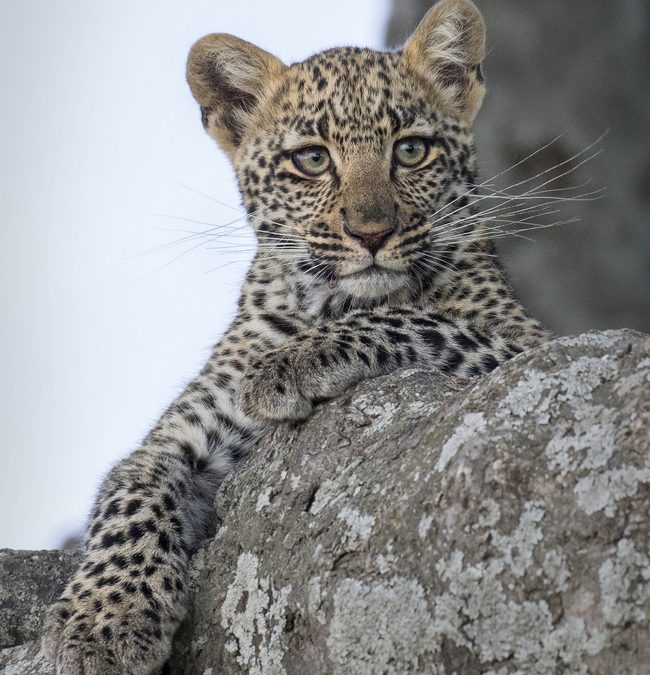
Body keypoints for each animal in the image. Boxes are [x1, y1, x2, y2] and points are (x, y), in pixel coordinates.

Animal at [42, 0, 549, 672]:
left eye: (411, 150)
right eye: (311, 159)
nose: (371, 232)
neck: (331, 299)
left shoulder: (529, 348)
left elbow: (419, 319)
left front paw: (291, 364)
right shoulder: (188, 428)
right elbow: (131, 490)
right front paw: (103, 624)